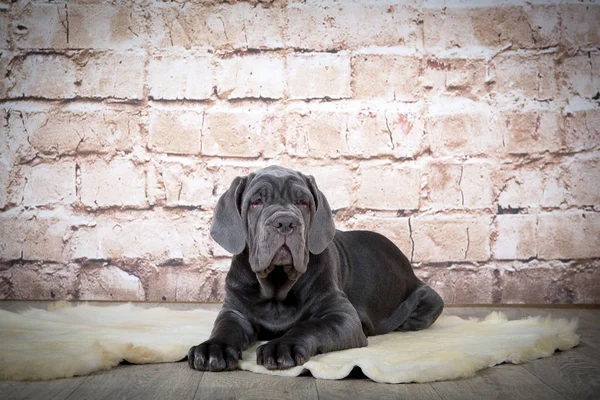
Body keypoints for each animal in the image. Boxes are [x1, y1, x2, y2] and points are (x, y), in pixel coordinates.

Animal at [189, 166, 446, 372]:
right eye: (256, 202)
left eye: (303, 202)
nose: (285, 222)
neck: (277, 285)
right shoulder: (235, 311)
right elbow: (224, 328)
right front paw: (213, 349)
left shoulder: (342, 315)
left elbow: (310, 326)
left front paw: (283, 346)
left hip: (429, 300)